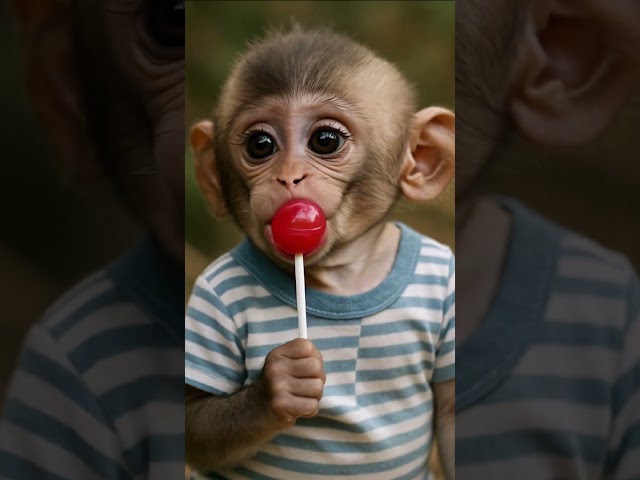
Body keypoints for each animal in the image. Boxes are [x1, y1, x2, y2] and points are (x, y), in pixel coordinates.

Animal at [185, 26, 455, 480]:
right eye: (261, 145)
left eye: (324, 141)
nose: (289, 176)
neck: (342, 275)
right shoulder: (209, 298)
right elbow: (196, 418)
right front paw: (281, 382)